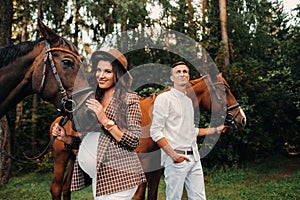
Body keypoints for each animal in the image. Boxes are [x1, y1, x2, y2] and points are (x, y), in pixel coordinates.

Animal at [49, 72, 246, 199]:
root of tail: (61, 118)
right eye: (225, 90)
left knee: (66, 190)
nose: (241, 118)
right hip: (61, 158)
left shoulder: (155, 169)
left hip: (73, 159)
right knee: (56, 189)